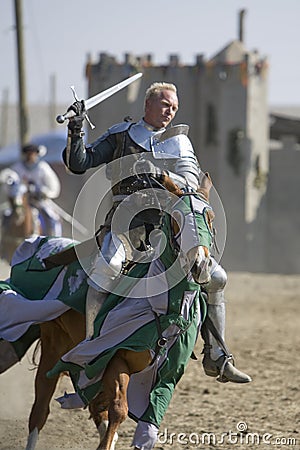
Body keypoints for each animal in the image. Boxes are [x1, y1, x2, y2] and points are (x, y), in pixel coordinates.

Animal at [0, 173, 216, 450]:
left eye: (210, 218)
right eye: (177, 218)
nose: (201, 264)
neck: (163, 309)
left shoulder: (167, 374)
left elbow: (145, 416)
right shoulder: (112, 358)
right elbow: (118, 410)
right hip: (53, 346)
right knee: (40, 412)